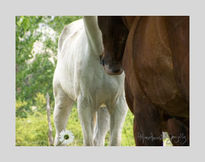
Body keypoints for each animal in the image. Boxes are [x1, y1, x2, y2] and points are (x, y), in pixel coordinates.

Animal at [52, 16, 127, 146]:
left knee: (98, 139)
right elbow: (87, 141)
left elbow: (114, 141)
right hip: (62, 100)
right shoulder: (85, 102)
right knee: (60, 137)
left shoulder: (119, 101)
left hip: (103, 108)